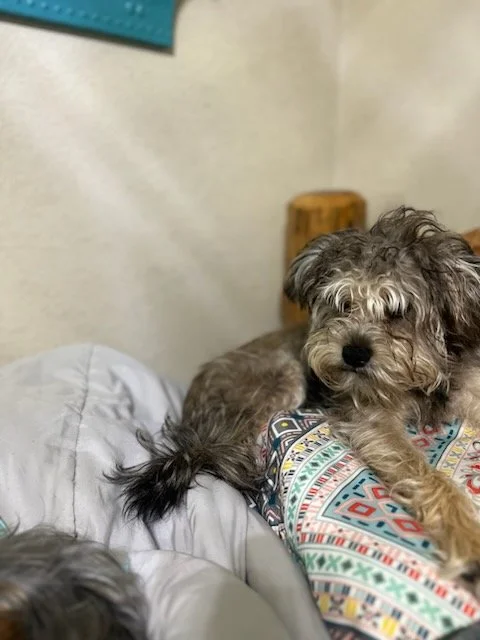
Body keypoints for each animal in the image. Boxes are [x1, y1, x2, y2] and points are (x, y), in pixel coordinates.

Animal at [113, 207, 480, 594]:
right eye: (343, 304)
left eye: (398, 311)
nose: (353, 353)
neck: (420, 380)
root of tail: (192, 416)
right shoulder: (371, 420)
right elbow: (425, 474)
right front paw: (468, 539)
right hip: (283, 380)